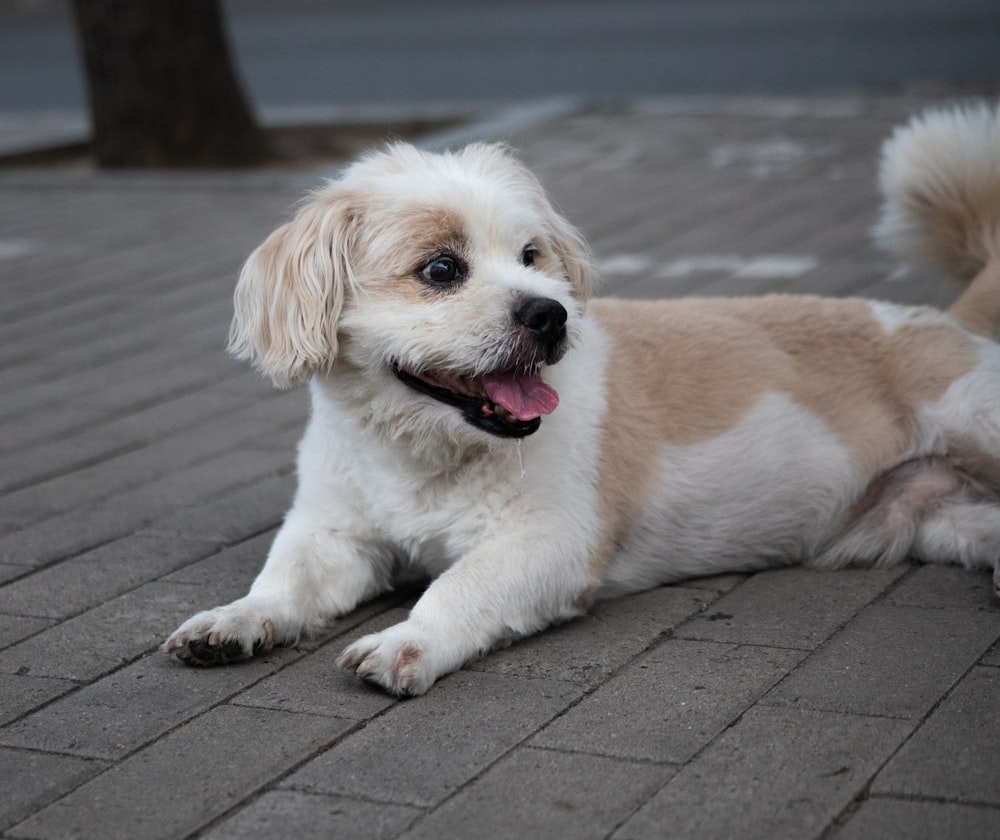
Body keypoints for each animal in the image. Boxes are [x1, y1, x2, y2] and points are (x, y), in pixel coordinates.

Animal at [164, 103, 1000, 696]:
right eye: (440, 269)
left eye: (532, 256)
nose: (548, 313)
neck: (424, 451)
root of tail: (950, 321)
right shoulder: (334, 533)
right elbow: (284, 580)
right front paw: (236, 620)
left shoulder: (548, 543)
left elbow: (460, 586)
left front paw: (409, 641)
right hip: (939, 520)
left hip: (977, 424)